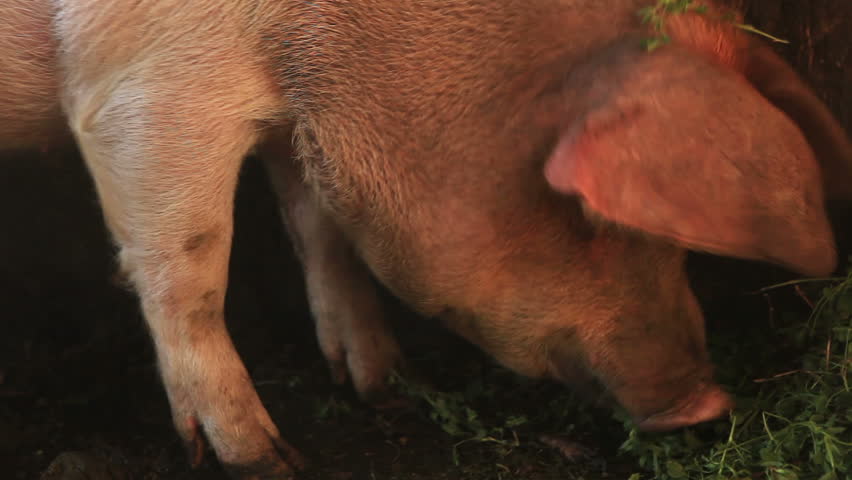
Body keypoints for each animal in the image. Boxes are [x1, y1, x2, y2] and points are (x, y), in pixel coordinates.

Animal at [2, 0, 851, 478]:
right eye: (588, 216)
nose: (706, 405)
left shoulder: (297, 122)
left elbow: (320, 231)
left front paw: (385, 386)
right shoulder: (142, 88)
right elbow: (191, 264)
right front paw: (266, 460)